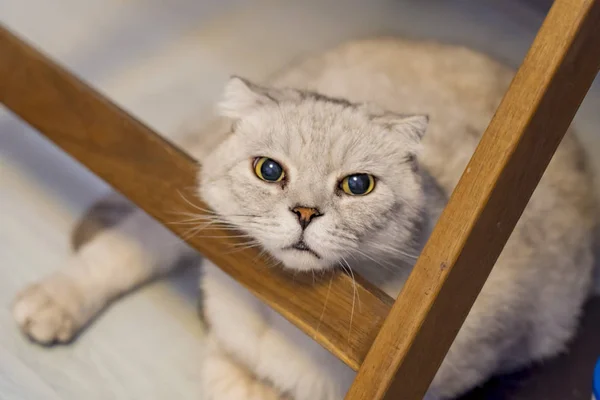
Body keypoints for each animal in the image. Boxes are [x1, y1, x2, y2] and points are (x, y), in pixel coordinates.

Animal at [10, 38, 600, 400]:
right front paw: (52, 303)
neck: (279, 307)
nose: (305, 213)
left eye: (357, 185)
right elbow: (123, 252)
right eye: (269, 170)